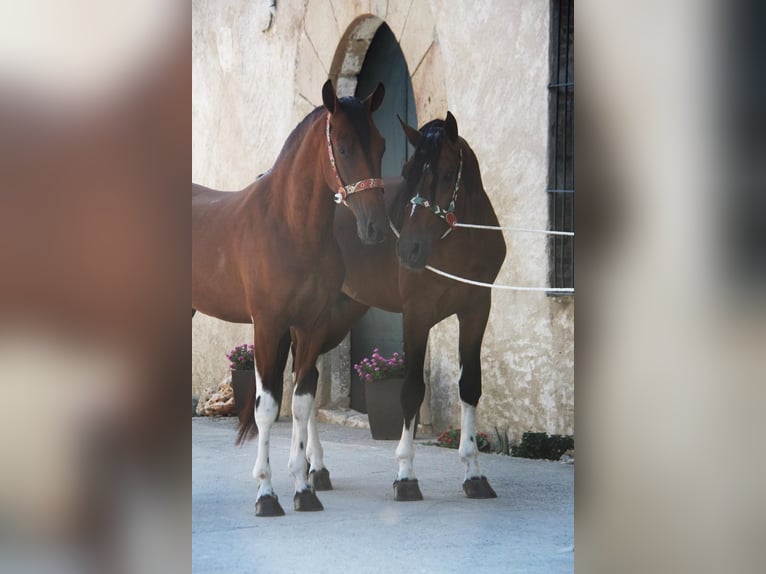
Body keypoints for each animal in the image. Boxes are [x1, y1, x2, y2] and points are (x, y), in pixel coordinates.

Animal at [191, 80, 388, 516]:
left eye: (382, 145)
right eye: (343, 148)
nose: (375, 228)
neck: (291, 228)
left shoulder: (310, 327)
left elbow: (301, 402)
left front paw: (303, 487)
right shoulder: (268, 326)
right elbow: (267, 408)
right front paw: (266, 495)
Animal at [272, 112, 508, 504]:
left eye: (448, 174)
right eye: (408, 170)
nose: (408, 249)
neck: (458, 242)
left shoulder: (478, 309)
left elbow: (470, 387)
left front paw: (474, 474)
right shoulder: (416, 314)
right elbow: (411, 390)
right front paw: (405, 476)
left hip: (339, 314)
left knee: (310, 378)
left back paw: (315, 469)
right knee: (302, 381)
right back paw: (312, 468)